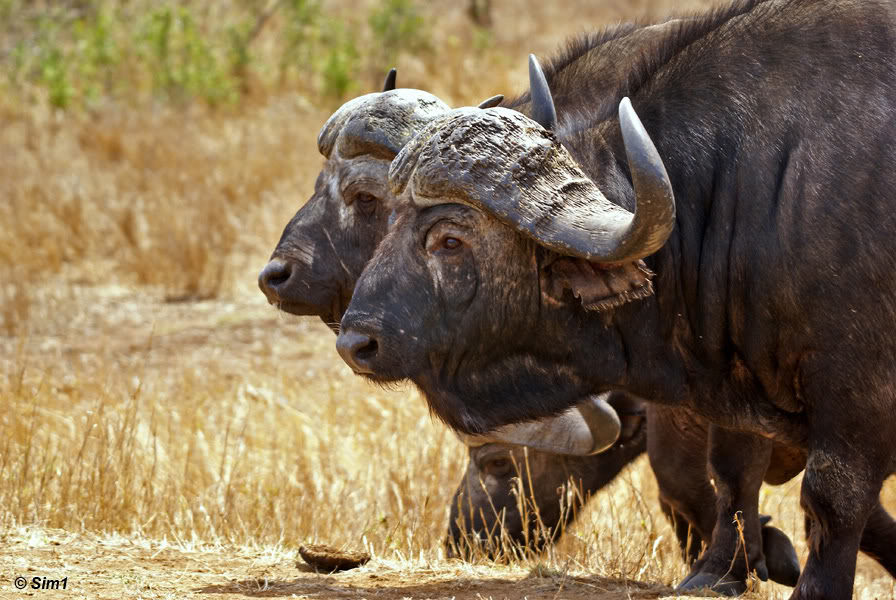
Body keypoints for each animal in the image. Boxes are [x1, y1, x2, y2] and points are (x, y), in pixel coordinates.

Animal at [336, 2, 896, 596]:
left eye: (449, 240)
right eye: (389, 217)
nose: (356, 342)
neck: (749, 189)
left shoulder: (854, 390)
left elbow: (832, 500)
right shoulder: (734, 380)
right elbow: (731, 474)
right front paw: (721, 570)